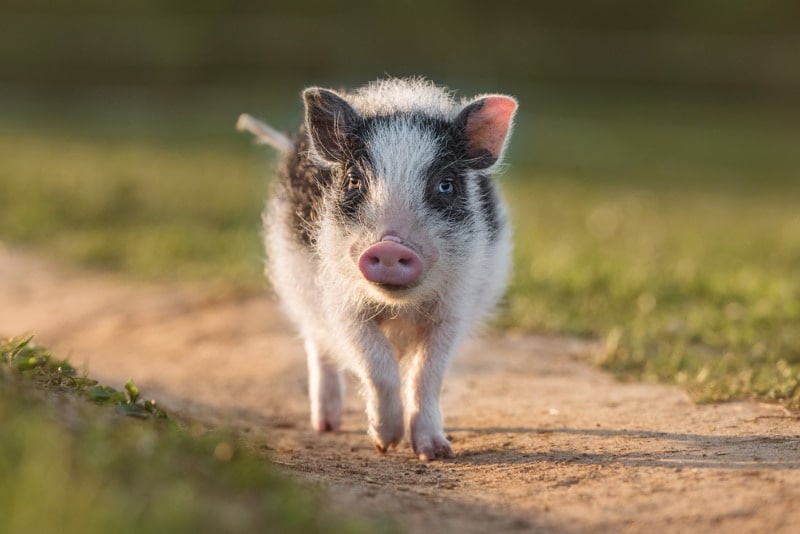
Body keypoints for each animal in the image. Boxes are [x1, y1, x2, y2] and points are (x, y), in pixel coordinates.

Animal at [236, 77, 520, 462]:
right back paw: (326, 426)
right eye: (355, 181)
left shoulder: (453, 306)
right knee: (317, 345)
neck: (398, 306)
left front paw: (435, 453)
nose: (389, 246)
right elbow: (376, 364)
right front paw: (386, 443)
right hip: (298, 283)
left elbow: (426, 374)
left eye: (445, 184)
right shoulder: (342, 304)